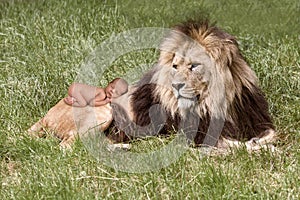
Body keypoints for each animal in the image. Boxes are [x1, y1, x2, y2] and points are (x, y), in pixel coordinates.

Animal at [111, 20, 278, 152]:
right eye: (175, 66)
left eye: (194, 66)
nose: (176, 85)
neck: (213, 102)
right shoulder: (199, 136)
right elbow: (235, 145)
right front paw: (262, 148)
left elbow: (272, 133)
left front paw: (261, 142)